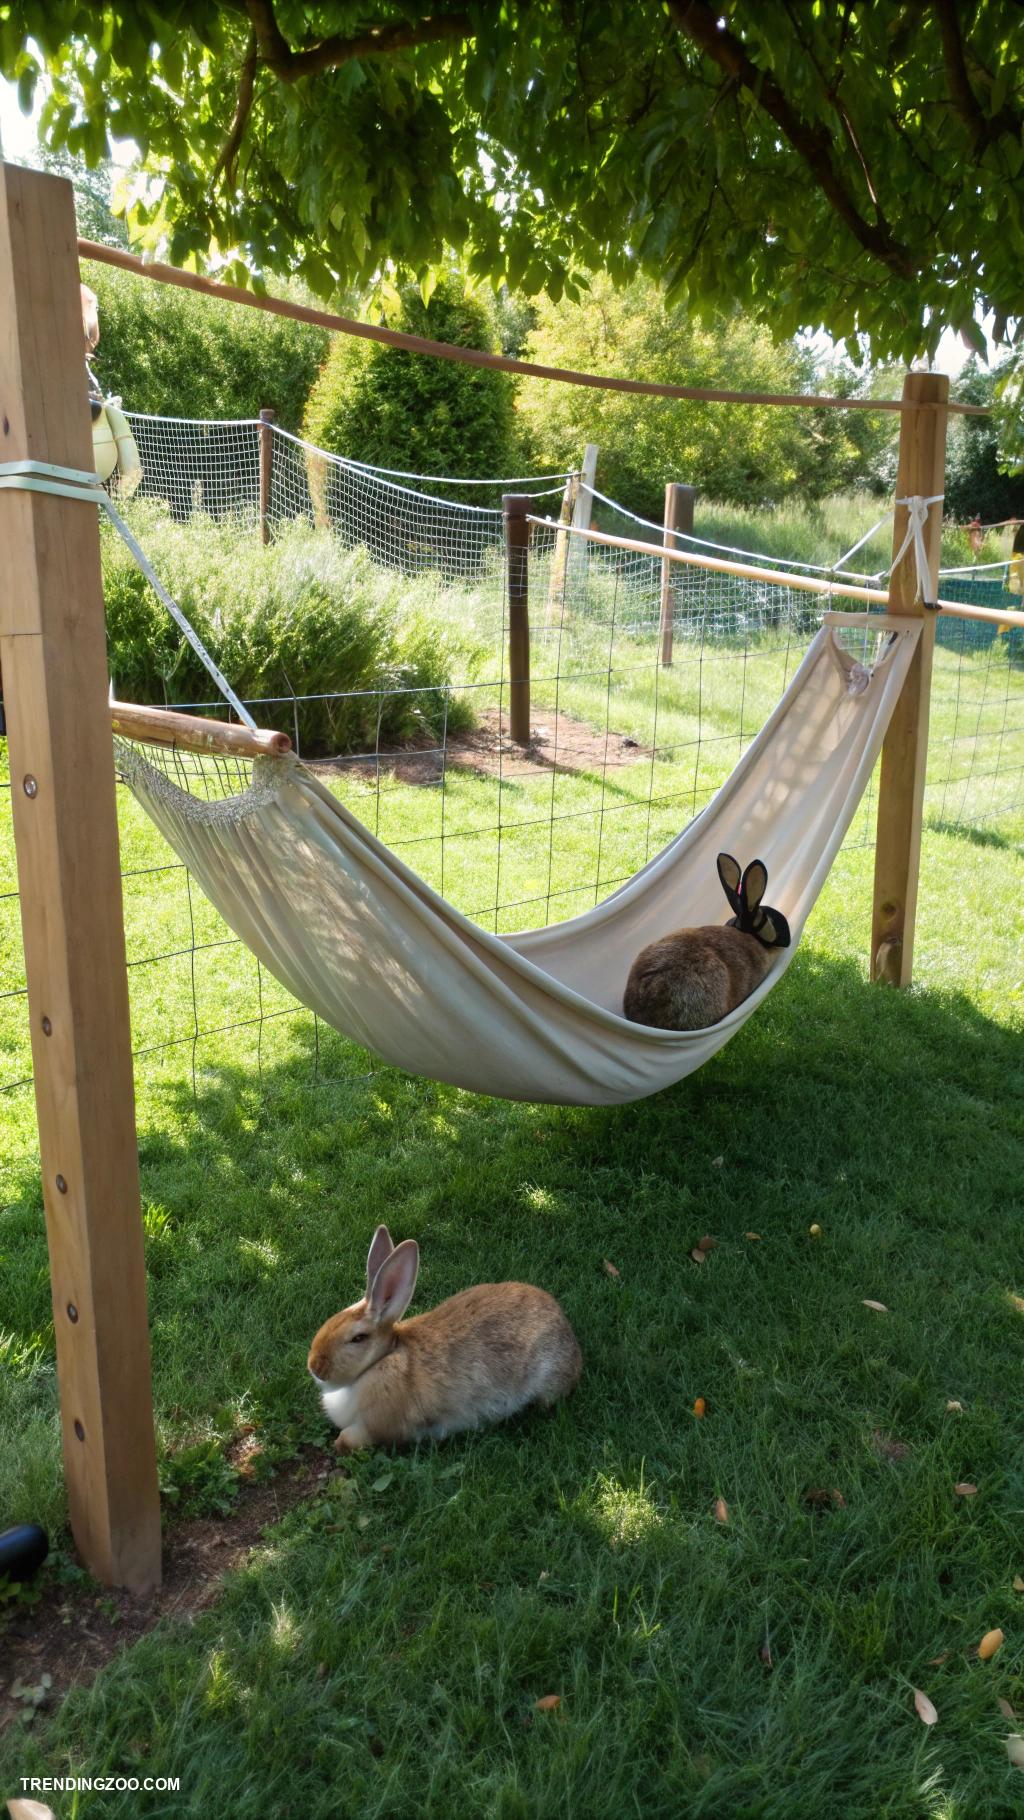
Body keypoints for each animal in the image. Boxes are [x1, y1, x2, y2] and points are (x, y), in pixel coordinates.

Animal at [308, 1225, 581, 1452]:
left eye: (358, 1338)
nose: (314, 1367)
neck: (384, 1358)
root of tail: (567, 1331)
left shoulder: (377, 1429)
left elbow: (350, 1439)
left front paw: (338, 1444)